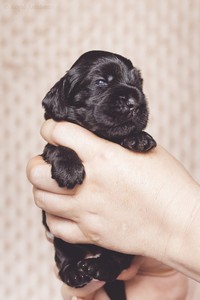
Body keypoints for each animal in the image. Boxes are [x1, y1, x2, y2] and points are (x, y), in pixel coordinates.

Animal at [41, 50, 155, 298]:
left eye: (138, 83)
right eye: (101, 82)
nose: (135, 102)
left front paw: (139, 137)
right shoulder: (50, 144)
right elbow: (58, 148)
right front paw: (69, 170)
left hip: (123, 241)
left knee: (118, 259)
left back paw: (99, 266)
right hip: (61, 238)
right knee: (64, 255)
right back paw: (74, 272)